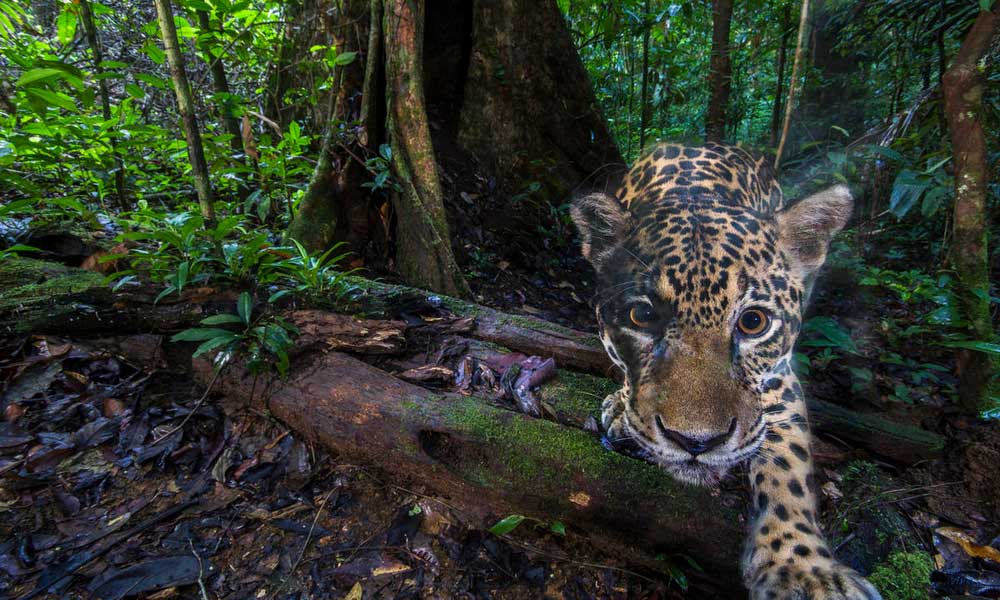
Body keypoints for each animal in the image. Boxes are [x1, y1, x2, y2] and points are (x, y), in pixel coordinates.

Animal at [570, 142, 882, 600]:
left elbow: (789, 465)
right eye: (642, 316)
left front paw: (805, 571)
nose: (696, 442)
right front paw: (622, 409)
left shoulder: (778, 380)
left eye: (754, 322)